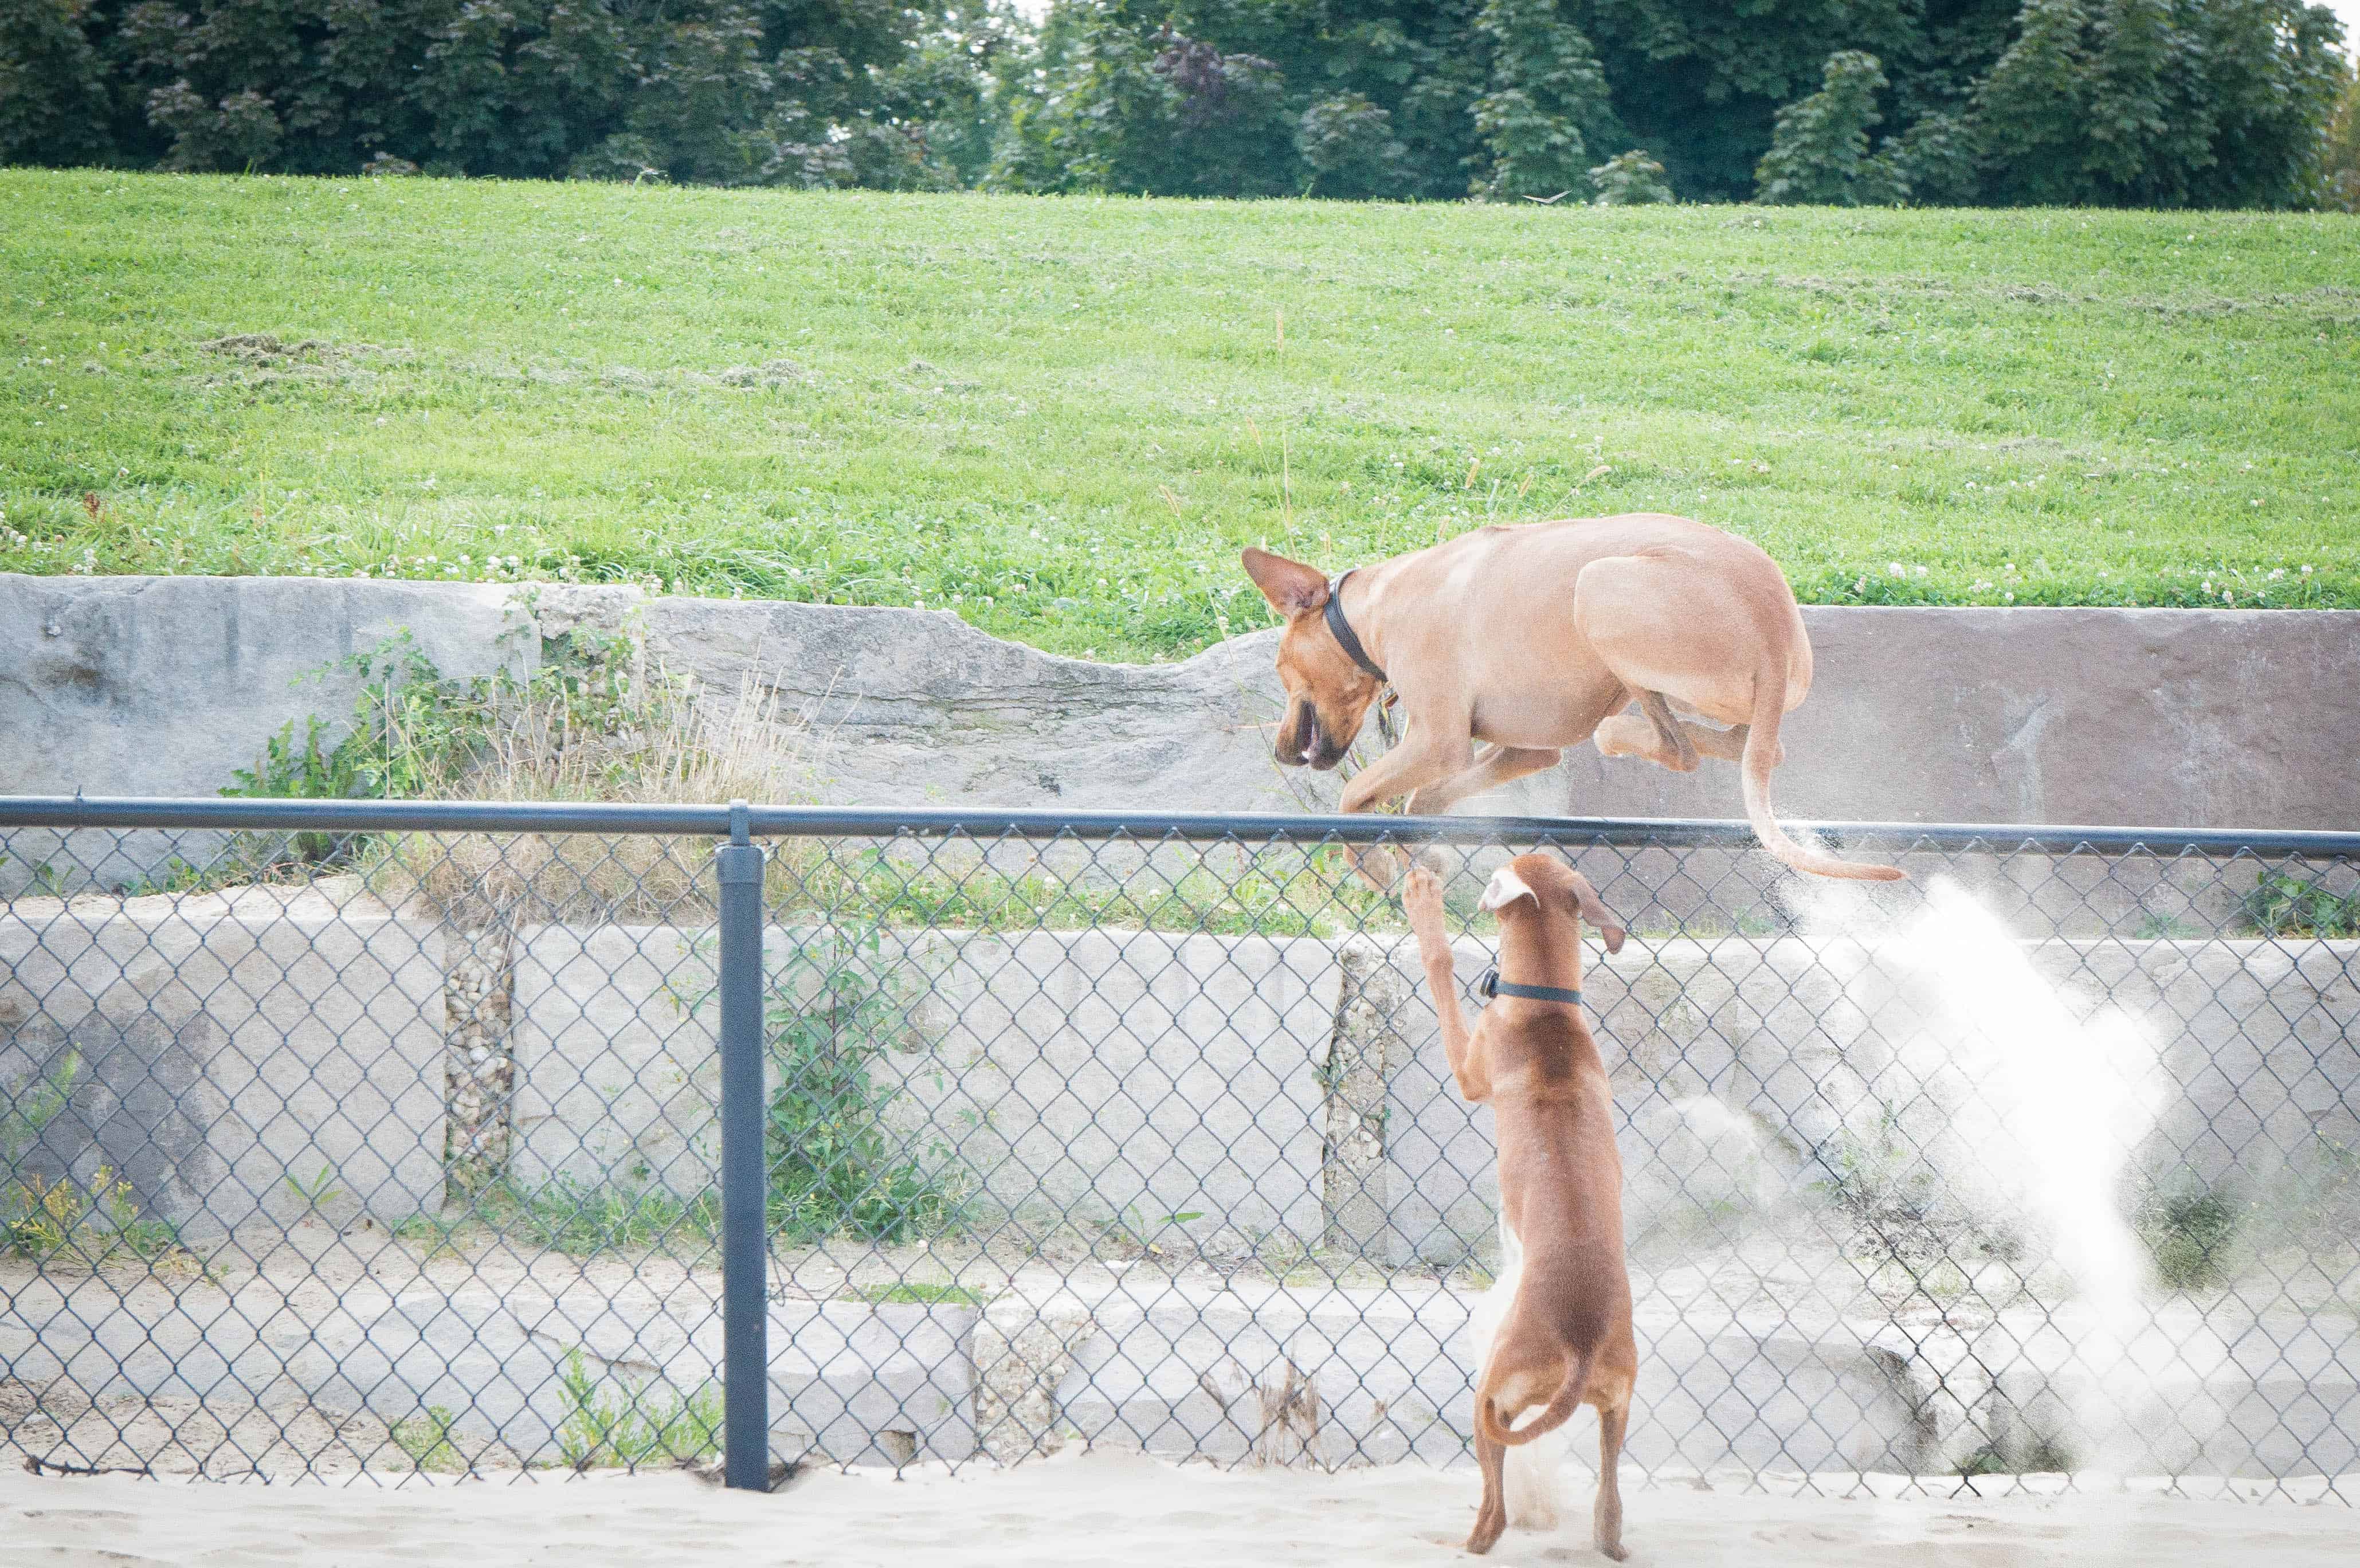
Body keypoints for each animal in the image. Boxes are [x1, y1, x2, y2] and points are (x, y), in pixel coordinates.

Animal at [1246, 512, 1907, 883]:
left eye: (1279, 668)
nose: (1278, 752)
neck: (1372, 610)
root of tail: (1773, 629)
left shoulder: (1439, 743)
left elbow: (1354, 797)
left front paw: (1377, 865)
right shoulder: (1523, 752)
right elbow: (1417, 805)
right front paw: (1418, 857)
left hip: (1601, 586)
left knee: (1675, 747)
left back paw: (1620, 733)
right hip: (1729, 696)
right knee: (1756, 748)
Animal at [1397, 850, 1642, 1558]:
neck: (1547, 1009)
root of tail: (1580, 1343)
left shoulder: (1468, 1064)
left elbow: (1439, 966)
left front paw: (1423, 902)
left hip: (1492, 1399)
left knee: (1494, 1514)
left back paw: (1465, 1542)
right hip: (1616, 1408)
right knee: (1609, 1513)